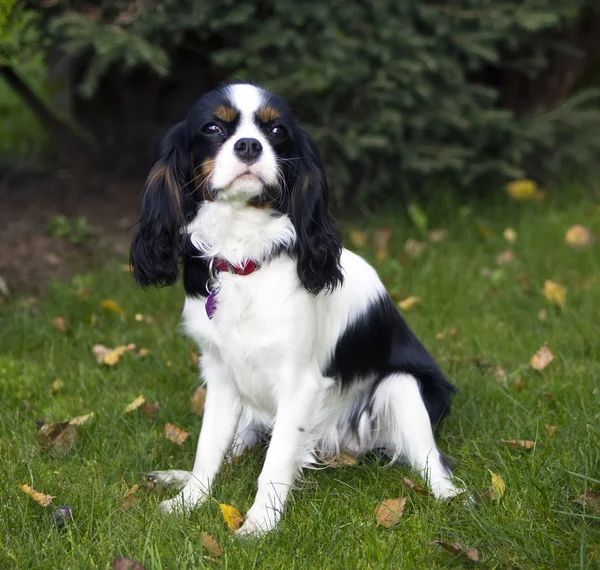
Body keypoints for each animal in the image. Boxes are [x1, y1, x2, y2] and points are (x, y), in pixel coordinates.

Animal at [131, 82, 460, 536]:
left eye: (277, 132)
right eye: (213, 128)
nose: (249, 145)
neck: (244, 255)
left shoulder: (300, 384)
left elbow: (275, 463)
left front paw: (258, 525)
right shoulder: (221, 376)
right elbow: (208, 448)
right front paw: (188, 501)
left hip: (403, 387)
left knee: (433, 463)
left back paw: (453, 498)